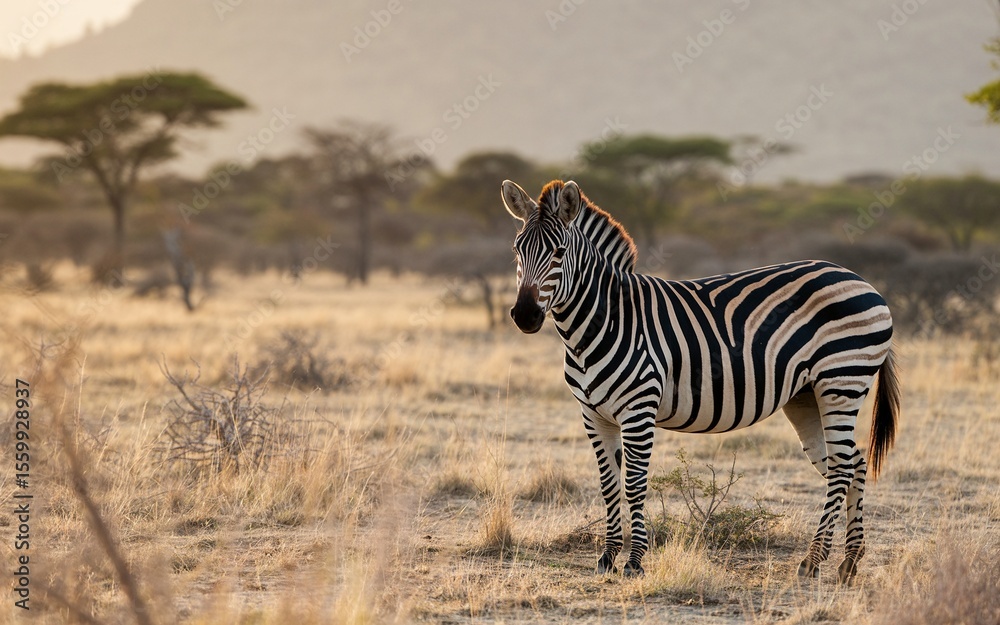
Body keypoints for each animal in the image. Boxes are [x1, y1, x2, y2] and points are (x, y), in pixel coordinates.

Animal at [502, 179, 899, 582]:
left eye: (559, 252)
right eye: (517, 250)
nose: (524, 315)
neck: (602, 322)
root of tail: (860, 280)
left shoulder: (639, 410)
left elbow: (634, 484)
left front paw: (634, 562)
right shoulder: (593, 414)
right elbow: (609, 485)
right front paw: (607, 557)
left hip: (841, 382)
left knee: (842, 467)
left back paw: (813, 560)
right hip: (806, 396)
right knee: (851, 463)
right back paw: (849, 561)